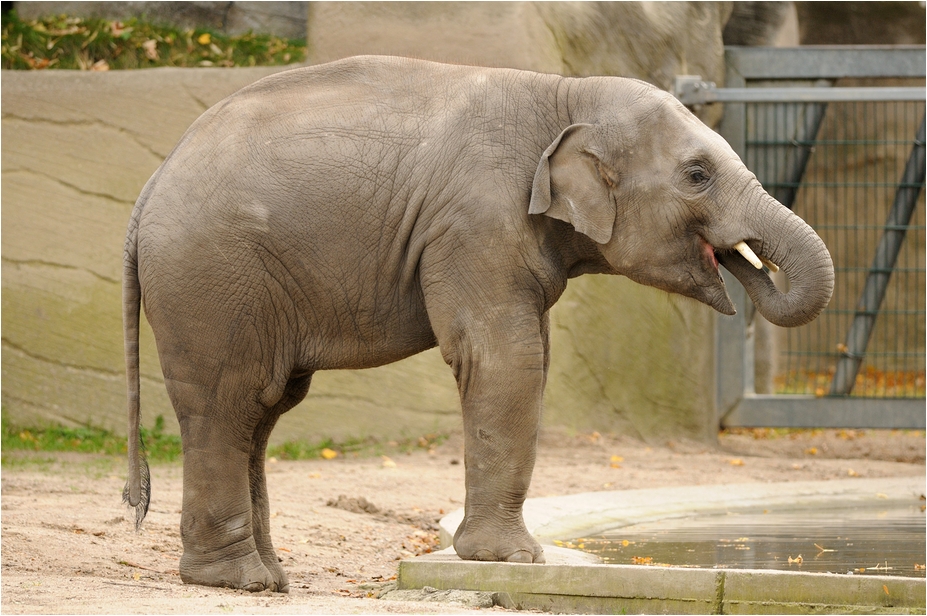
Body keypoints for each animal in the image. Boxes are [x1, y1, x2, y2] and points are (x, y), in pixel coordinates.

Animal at [122, 55, 834, 592]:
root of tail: (150, 185)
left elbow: (530, 356)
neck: (564, 92)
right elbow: (505, 358)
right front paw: (513, 559)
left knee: (265, 408)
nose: (744, 265)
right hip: (213, 279)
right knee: (230, 401)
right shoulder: (477, 221)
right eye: (697, 175)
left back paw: (268, 576)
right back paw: (238, 581)